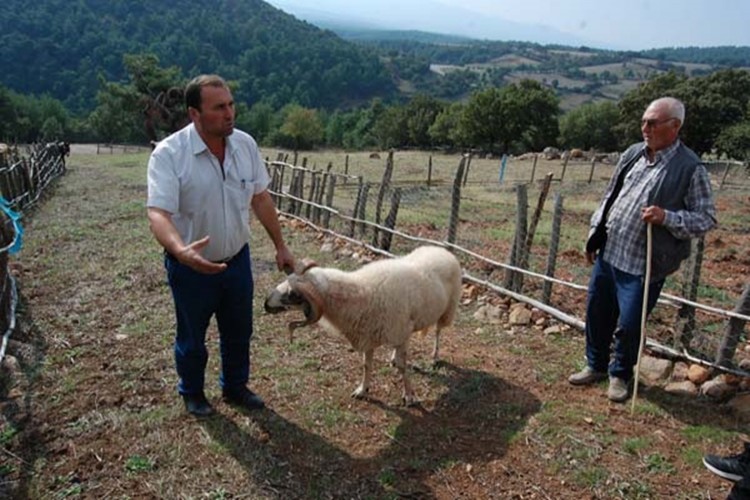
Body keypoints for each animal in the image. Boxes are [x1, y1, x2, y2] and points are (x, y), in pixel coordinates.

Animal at [264, 246, 464, 406]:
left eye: (293, 295)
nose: (265, 303)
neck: (361, 293)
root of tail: (440, 249)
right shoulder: (369, 335)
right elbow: (367, 365)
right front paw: (362, 389)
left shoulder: (396, 332)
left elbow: (403, 367)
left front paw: (409, 396)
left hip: (447, 310)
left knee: (438, 331)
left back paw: (435, 356)